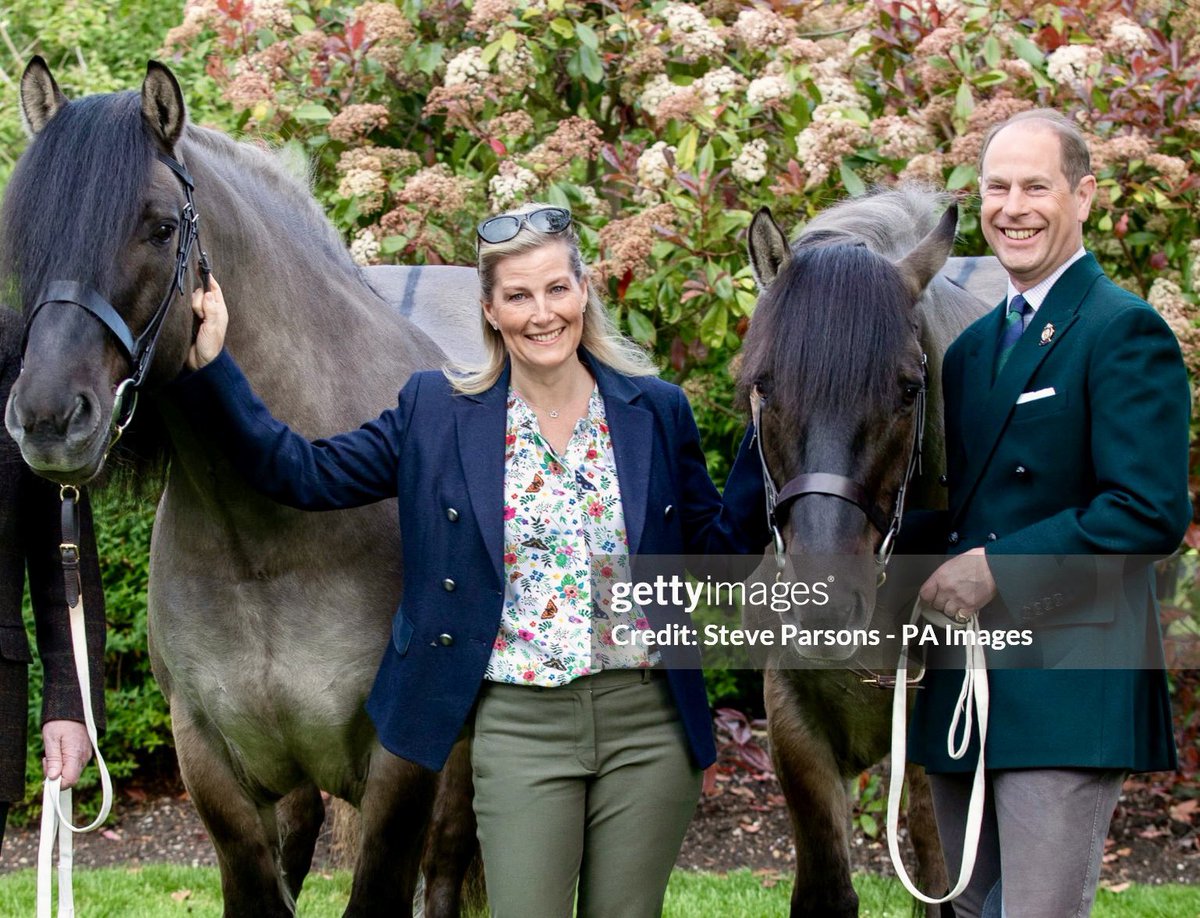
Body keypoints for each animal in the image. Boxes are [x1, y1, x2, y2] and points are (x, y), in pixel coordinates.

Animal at [5, 59, 482, 916]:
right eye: (28, 234)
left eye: (161, 228)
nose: (49, 420)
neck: (270, 534)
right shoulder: (213, 763)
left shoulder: (402, 772)